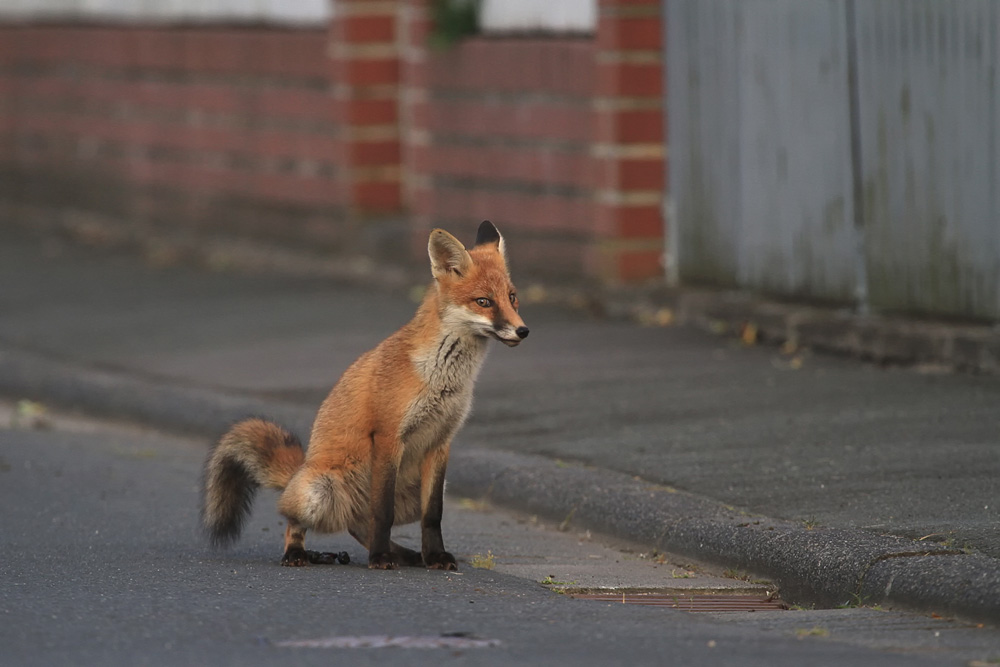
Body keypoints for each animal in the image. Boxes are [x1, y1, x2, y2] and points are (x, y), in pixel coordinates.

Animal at [204, 222, 532, 572]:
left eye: (512, 298)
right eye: (484, 302)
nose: (523, 331)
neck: (442, 377)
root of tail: (298, 472)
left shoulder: (441, 442)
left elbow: (433, 515)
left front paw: (434, 557)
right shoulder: (389, 436)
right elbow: (382, 512)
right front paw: (380, 559)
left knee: (358, 525)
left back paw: (406, 555)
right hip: (319, 489)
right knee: (299, 520)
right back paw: (299, 553)